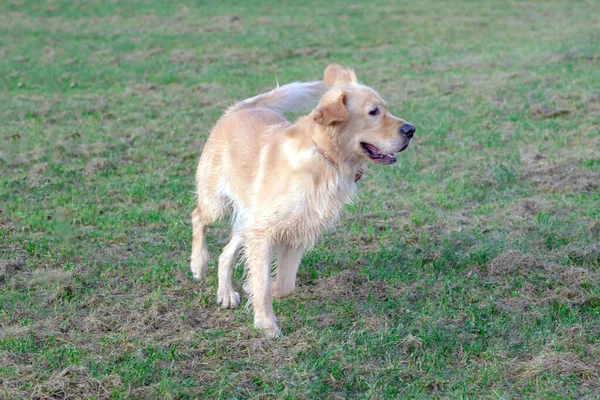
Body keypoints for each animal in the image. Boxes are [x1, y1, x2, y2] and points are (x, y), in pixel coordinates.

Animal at [190, 64, 414, 336]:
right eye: (373, 112)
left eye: (385, 108)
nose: (411, 130)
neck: (325, 158)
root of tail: (235, 110)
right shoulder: (264, 231)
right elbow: (263, 282)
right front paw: (266, 324)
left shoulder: (296, 231)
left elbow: (284, 284)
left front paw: (253, 288)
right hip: (217, 203)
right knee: (197, 218)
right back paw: (199, 264)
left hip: (248, 218)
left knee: (225, 252)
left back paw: (226, 293)